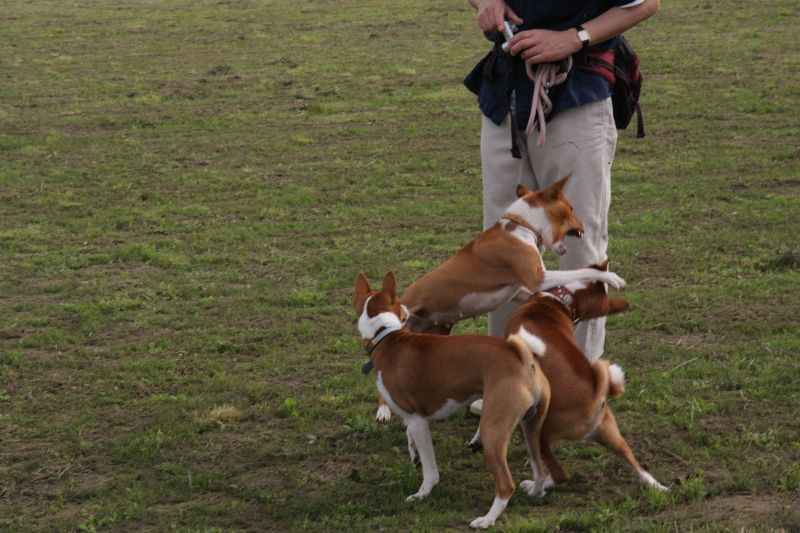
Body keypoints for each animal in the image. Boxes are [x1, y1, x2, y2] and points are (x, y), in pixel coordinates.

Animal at [354, 271, 550, 529]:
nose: (407, 308)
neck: (385, 335)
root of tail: (522, 358)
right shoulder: (415, 416)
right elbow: (409, 436)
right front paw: (414, 455)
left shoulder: (418, 420)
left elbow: (430, 469)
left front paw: (421, 493)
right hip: (531, 427)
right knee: (540, 471)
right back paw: (535, 491)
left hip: (493, 432)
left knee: (506, 485)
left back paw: (486, 519)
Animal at [498, 261, 668, 496]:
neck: (563, 301)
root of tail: (596, 399)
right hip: (611, 434)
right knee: (637, 465)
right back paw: (658, 486)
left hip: (538, 432)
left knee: (559, 473)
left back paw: (534, 488)